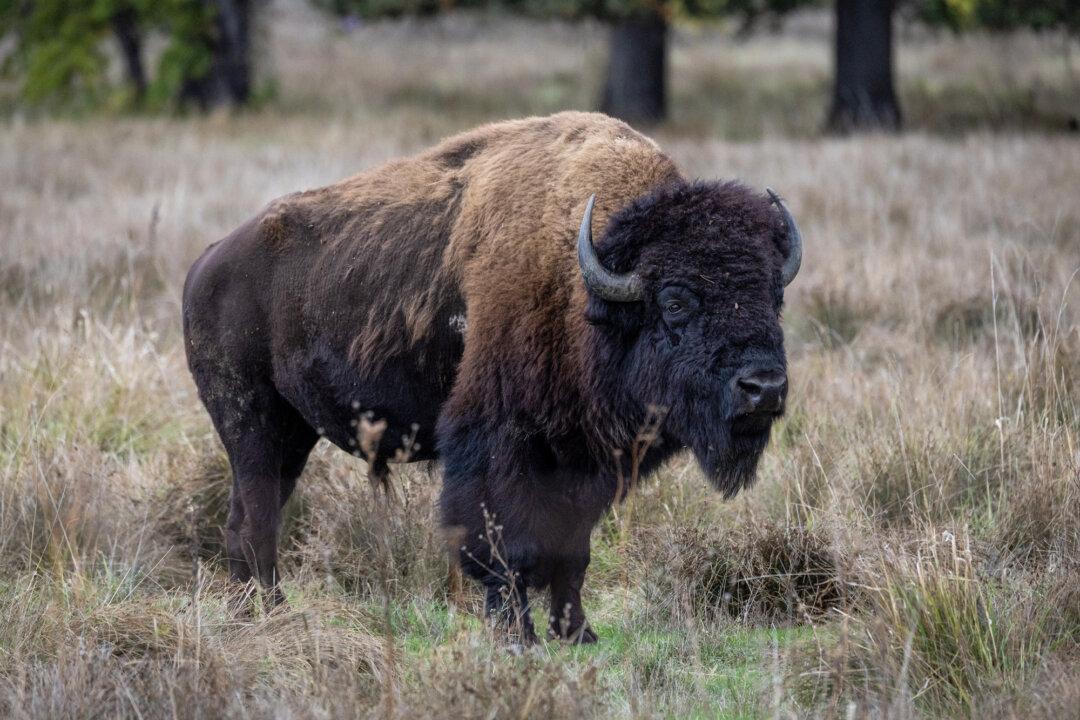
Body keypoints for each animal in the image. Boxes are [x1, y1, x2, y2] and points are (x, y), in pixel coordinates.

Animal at [182, 111, 802, 643]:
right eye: (675, 302)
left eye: (774, 295)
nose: (763, 388)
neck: (583, 283)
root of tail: (206, 264)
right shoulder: (495, 443)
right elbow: (502, 545)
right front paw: (517, 636)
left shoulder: (582, 460)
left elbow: (573, 551)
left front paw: (577, 634)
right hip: (252, 426)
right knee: (256, 517)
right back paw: (271, 611)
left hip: (292, 435)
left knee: (247, 516)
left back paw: (255, 610)